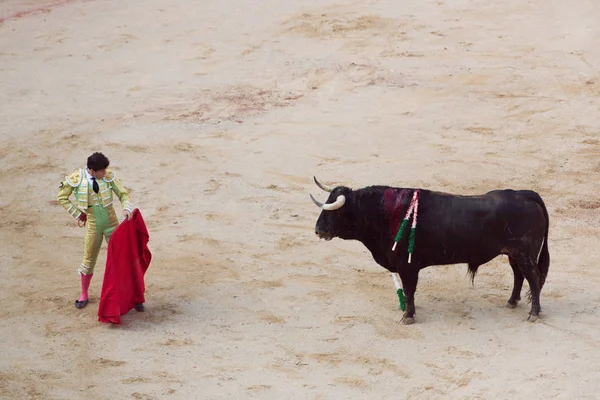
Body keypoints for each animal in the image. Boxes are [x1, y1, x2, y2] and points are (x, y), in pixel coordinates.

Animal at [312, 178, 552, 324]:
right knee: (519, 275)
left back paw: (533, 313)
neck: (385, 213)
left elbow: (409, 290)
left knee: (533, 278)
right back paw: (512, 302)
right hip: (514, 254)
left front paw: (408, 316)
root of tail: (525, 194)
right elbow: (408, 290)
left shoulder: (407, 265)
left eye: (335, 211)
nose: (318, 230)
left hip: (525, 254)